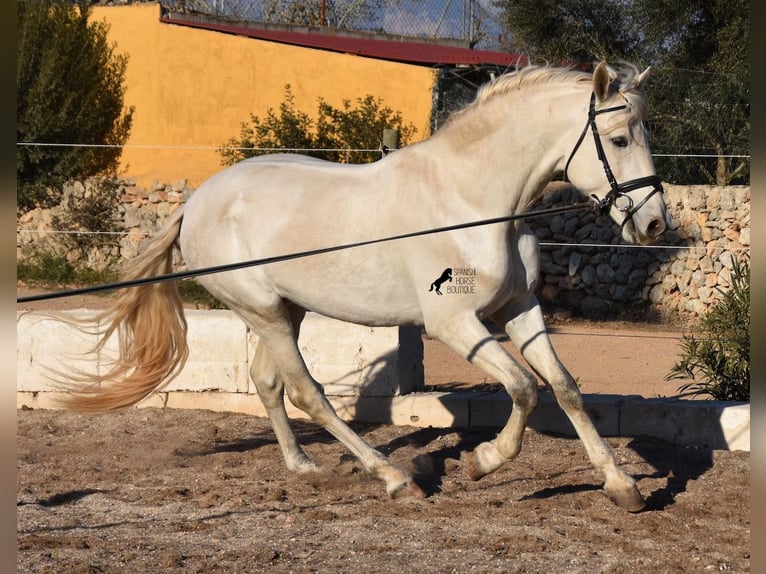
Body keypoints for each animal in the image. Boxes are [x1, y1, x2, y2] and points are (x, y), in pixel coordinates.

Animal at [63, 62, 668, 512]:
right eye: (618, 139)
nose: (655, 225)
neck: (472, 200)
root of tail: (196, 203)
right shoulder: (455, 324)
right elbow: (524, 389)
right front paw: (482, 462)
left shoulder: (518, 308)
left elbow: (564, 387)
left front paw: (622, 488)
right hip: (264, 312)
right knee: (307, 392)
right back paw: (395, 479)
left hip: (286, 311)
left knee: (268, 383)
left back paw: (305, 467)